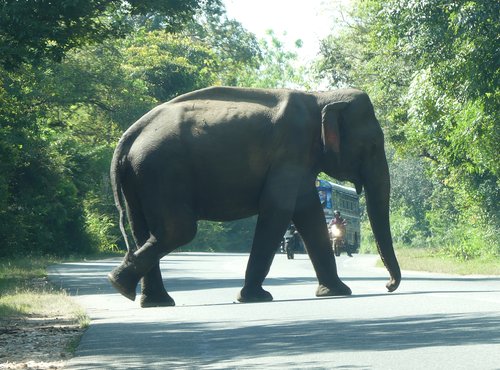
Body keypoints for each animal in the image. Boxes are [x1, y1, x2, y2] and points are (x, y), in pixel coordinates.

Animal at [107, 86, 400, 306]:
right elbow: (278, 210)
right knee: (178, 230)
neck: (322, 97)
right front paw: (254, 297)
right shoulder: (290, 151)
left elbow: (309, 214)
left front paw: (337, 292)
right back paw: (121, 285)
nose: (388, 286)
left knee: (142, 228)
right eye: (373, 146)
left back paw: (149, 298)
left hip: (140, 176)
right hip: (162, 171)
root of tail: (130, 134)